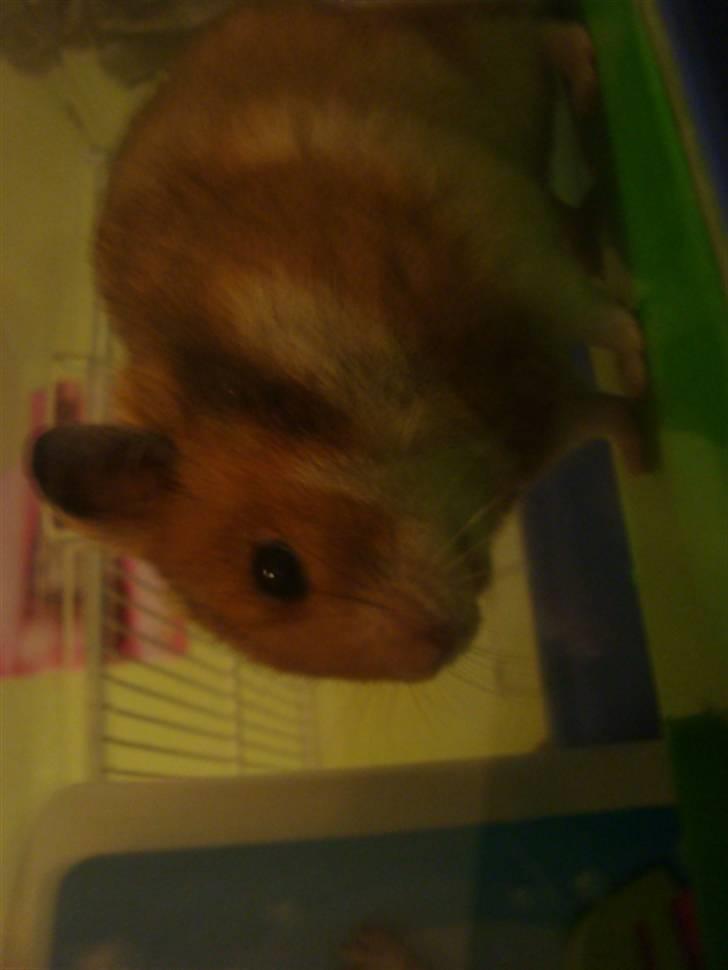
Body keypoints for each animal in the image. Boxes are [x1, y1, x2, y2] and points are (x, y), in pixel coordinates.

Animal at [29, 4, 646, 682]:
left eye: (275, 569)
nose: (446, 647)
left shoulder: (497, 244)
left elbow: (594, 314)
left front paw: (645, 354)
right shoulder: (536, 421)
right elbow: (603, 414)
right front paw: (646, 451)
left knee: (551, 35)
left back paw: (588, 84)